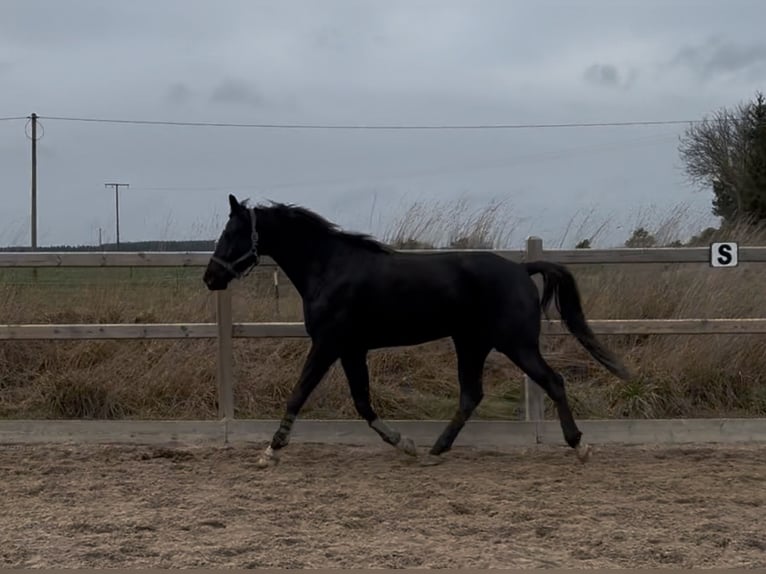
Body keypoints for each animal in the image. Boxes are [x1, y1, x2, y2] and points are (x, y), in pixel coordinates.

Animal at [202, 194, 632, 468]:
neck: (329, 267)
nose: (210, 278)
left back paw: (579, 447)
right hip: (472, 343)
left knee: (553, 381)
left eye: (230, 234)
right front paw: (404, 444)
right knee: (471, 395)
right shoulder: (351, 348)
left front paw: (270, 451)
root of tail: (521, 269)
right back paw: (435, 450)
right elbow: (362, 402)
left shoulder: (328, 344)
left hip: (515, 344)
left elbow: (299, 393)